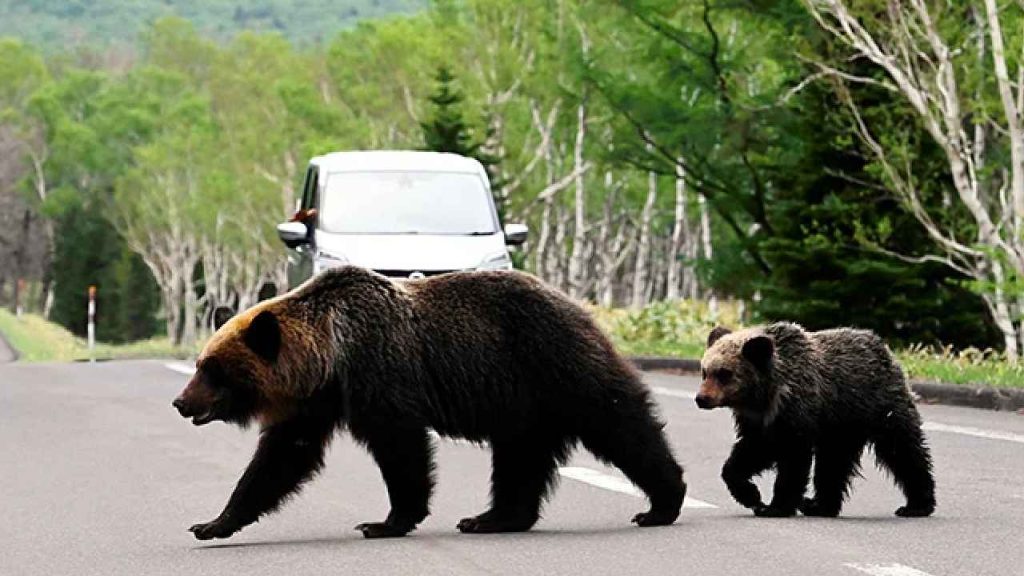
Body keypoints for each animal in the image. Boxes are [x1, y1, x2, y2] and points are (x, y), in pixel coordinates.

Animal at [172, 266, 687, 540]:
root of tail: (579, 306)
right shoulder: (314, 403)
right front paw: (213, 523)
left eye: (213, 370)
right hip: (522, 405)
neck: (331, 358)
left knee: (619, 423)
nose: (180, 401)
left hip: (553, 364)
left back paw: (661, 503)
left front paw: (386, 520)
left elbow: (400, 447)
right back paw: (491, 517)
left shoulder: (380, 374)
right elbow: (280, 459)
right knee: (519, 459)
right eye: (200, 363)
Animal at [696, 322, 935, 519]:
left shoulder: (797, 413)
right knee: (833, 463)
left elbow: (793, 459)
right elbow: (750, 453)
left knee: (903, 450)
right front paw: (751, 495)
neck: (765, 395)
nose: (701, 398)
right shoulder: (758, 421)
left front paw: (775, 507)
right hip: (842, 428)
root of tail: (885, 348)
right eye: (705, 371)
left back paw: (916, 505)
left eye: (724, 373)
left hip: (879, 407)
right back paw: (820, 506)